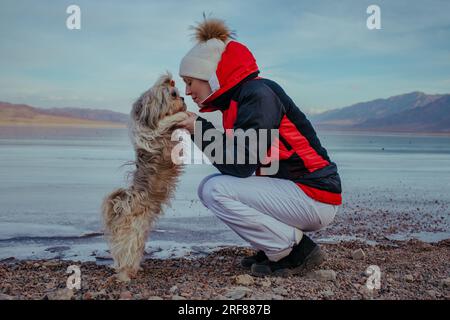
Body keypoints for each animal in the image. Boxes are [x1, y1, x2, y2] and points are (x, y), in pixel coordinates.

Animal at [101, 74, 187, 282]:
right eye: (173, 94)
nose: (184, 99)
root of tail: (120, 206)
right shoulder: (154, 132)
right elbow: (168, 121)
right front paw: (182, 116)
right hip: (131, 235)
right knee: (123, 256)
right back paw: (124, 276)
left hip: (137, 236)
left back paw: (133, 270)